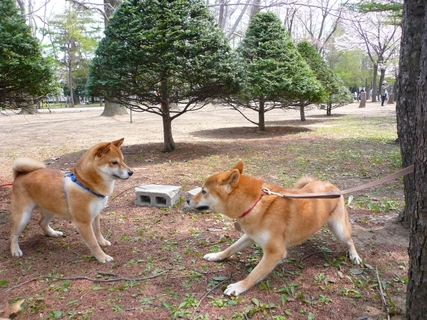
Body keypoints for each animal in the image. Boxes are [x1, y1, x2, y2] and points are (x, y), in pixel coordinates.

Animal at [187, 161, 362, 296]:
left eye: (203, 191)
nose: (187, 200)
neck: (254, 203)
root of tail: (331, 185)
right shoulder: (249, 236)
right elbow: (230, 249)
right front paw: (216, 256)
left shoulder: (274, 252)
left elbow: (254, 274)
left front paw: (239, 286)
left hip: (339, 230)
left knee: (350, 241)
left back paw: (354, 256)